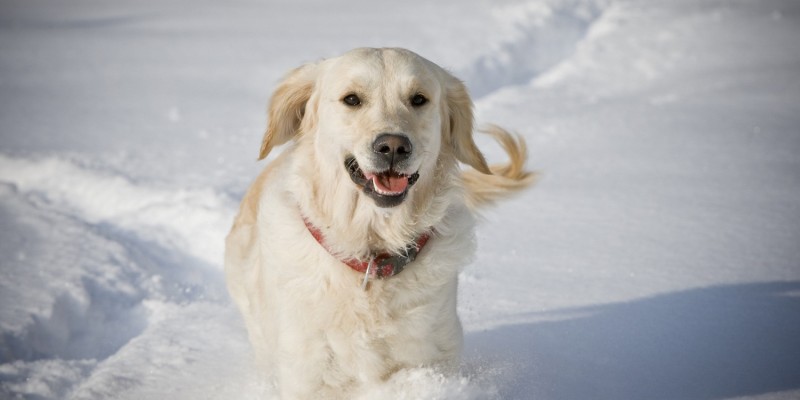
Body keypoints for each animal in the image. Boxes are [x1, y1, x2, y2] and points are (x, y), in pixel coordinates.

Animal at [225, 46, 536, 396]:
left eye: (418, 99)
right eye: (351, 99)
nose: (393, 146)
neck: (372, 251)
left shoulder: (430, 356)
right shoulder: (308, 374)